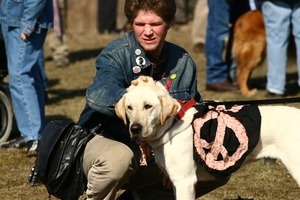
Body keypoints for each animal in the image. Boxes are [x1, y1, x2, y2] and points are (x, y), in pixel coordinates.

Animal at [114, 77, 300, 200]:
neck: (171, 124)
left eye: (148, 106)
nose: (135, 128)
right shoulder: (176, 182)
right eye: (129, 107)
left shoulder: (185, 182)